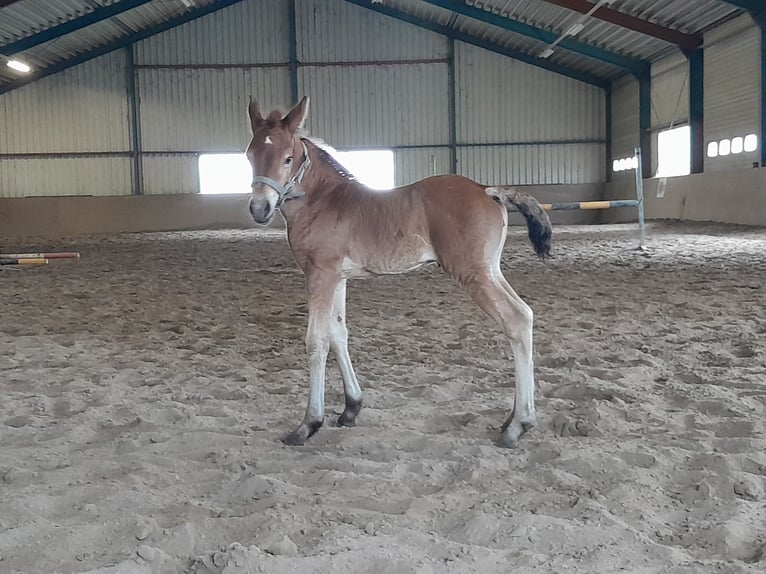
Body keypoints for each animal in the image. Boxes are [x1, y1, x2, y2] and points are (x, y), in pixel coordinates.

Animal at [245, 96, 552, 448]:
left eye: (287, 158)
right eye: (250, 155)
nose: (259, 209)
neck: (324, 201)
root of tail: (488, 189)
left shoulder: (320, 274)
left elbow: (317, 341)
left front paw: (308, 424)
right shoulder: (337, 277)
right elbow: (339, 334)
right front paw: (351, 408)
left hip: (474, 274)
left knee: (516, 320)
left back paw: (519, 424)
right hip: (491, 270)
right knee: (525, 315)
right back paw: (512, 419)